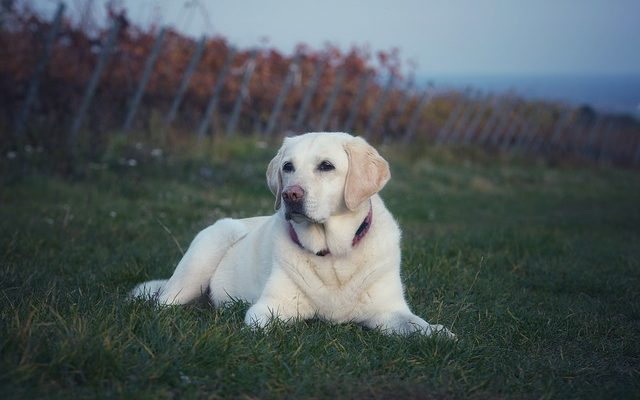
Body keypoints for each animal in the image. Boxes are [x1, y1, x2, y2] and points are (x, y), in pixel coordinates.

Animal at [131, 132, 456, 338]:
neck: (333, 254)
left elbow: (417, 326)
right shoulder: (268, 309)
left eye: (326, 166)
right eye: (288, 167)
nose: (290, 195)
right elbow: (280, 323)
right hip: (210, 247)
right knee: (164, 303)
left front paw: (439, 333)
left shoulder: (388, 311)